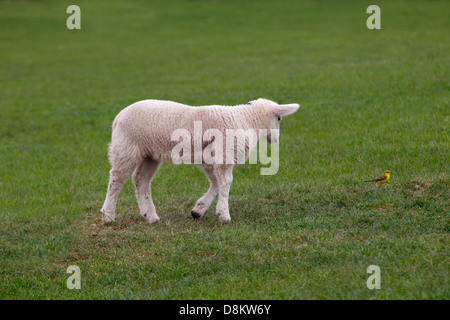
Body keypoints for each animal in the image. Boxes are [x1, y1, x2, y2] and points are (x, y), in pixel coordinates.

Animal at [101, 99, 298, 224]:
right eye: (279, 118)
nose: (276, 140)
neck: (245, 119)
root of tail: (117, 118)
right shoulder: (224, 155)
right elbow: (225, 183)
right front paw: (224, 215)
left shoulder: (210, 160)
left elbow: (216, 183)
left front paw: (198, 210)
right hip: (125, 149)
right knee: (116, 180)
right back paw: (108, 215)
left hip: (150, 154)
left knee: (140, 180)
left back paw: (150, 216)